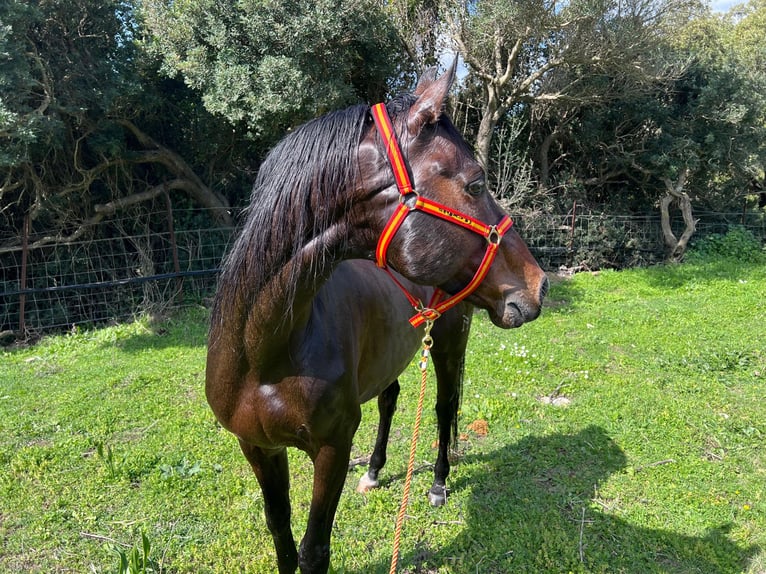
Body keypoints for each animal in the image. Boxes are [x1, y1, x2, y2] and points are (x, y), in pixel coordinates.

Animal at [207, 60, 548, 572]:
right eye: (476, 183)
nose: (538, 284)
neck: (265, 351)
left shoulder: (332, 448)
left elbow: (313, 549)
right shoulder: (258, 447)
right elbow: (280, 533)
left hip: (448, 345)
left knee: (443, 407)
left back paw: (438, 484)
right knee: (390, 400)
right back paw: (373, 470)